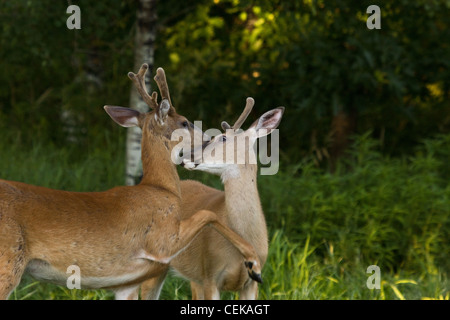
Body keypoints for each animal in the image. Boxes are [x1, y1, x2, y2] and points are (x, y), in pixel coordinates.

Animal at [0, 65, 262, 300]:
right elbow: (209, 214)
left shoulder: (127, 284)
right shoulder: (162, 241)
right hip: (8, 263)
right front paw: (254, 265)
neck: (161, 187)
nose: (207, 139)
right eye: (185, 122)